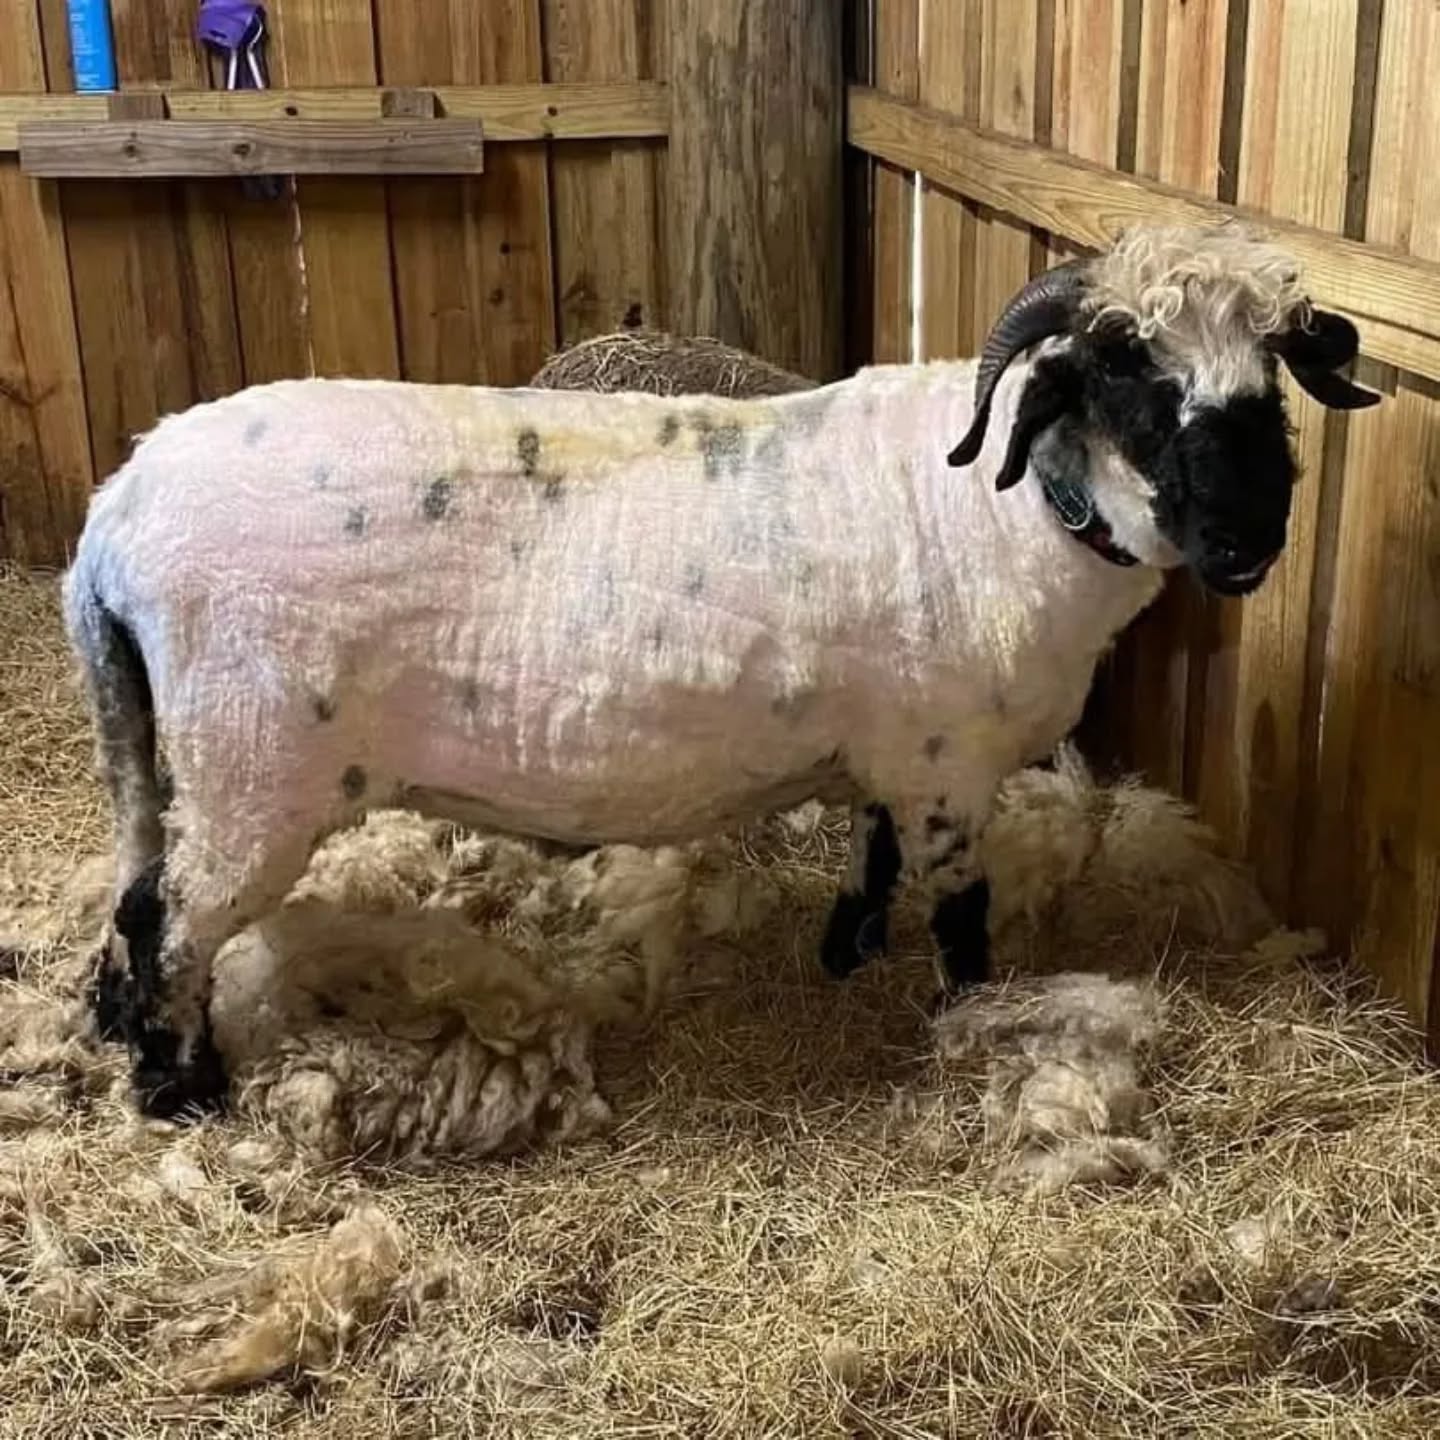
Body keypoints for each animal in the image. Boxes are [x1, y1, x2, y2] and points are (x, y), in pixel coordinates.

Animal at [62, 220, 1378, 1118]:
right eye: (1122, 374)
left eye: (1272, 375)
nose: (1248, 540)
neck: (1011, 512)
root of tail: (113, 518)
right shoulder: (948, 764)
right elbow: (960, 920)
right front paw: (972, 1026)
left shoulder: (891, 751)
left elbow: (871, 854)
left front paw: (846, 954)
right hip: (254, 765)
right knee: (170, 918)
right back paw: (182, 1090)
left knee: (135, 900)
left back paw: (128, 1039)